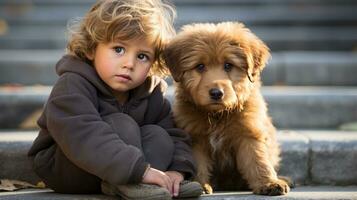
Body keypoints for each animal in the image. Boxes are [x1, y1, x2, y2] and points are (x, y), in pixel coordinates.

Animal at [163, 21, 290, 195]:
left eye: (228, 65)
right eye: (200, 66)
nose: (216, 93)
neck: (218, 114)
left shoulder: (249, 133)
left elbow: (257, 160)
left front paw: (269, 183)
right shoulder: (194, 137)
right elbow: (197, 162)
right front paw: (198, 184)